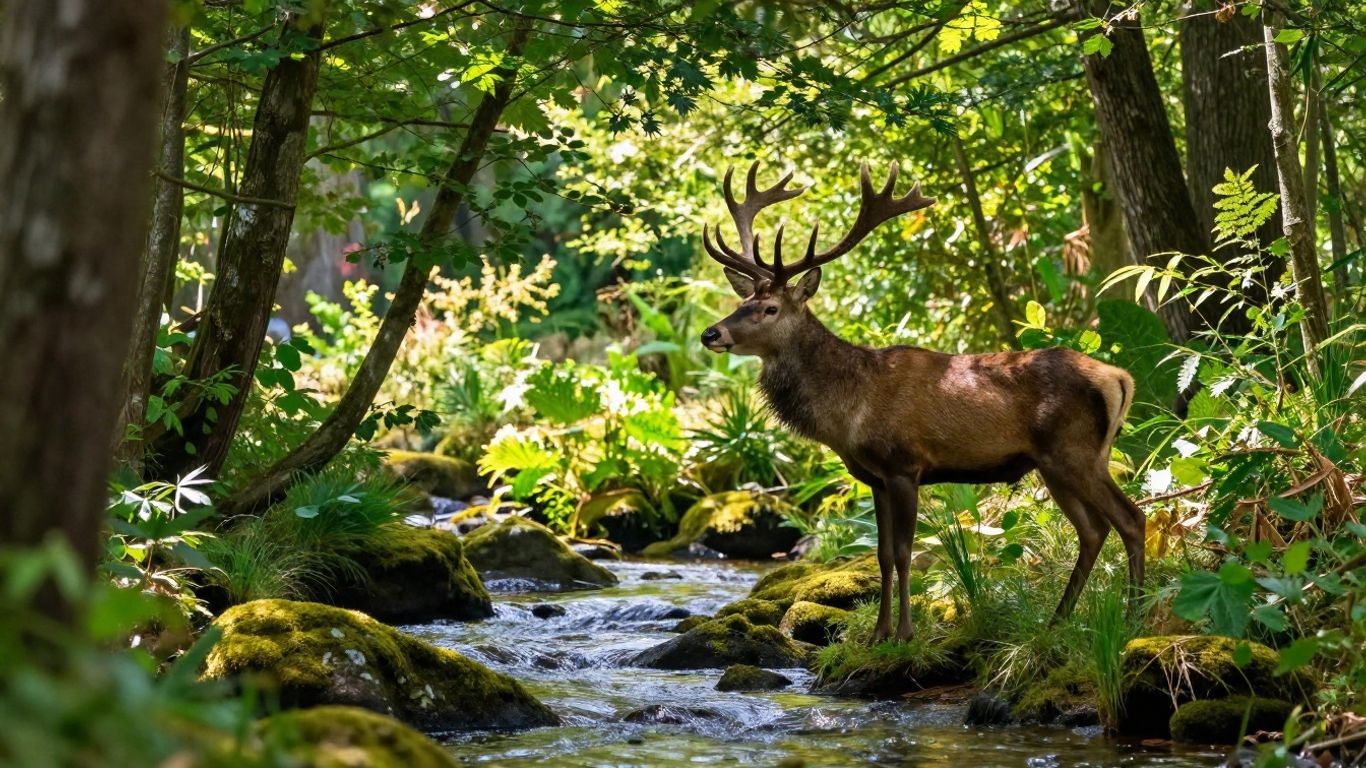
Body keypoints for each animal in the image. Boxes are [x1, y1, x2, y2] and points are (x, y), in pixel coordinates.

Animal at [698, 161, 1145, 643]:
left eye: (770, 309)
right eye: (743, 300)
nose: (710, 333)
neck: (848, 413)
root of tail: (1120, 377)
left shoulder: (904, 464)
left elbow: (904, 552)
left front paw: (904, 634)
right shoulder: (873, 478)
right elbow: (880, 555)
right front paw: (878, 634)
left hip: (1075, 452)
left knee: (1131, 519)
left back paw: (1135, 617)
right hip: (1056, 463)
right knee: (1094, 530)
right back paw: (1058, 620)